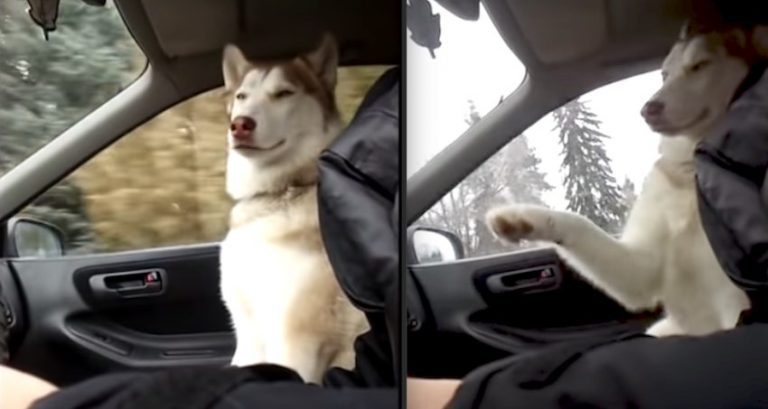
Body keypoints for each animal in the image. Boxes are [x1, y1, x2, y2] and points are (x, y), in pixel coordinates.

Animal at [219, 35, 368, 382]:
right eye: (241, 96)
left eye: (284, 93)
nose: (240, 125)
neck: (277, 194)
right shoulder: (247, 333)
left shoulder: (296, 341)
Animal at [486, 24, 768, 334]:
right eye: (664, 74)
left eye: (700, 65)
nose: (648, 109)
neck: (688, 168)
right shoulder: (642, 265)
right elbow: (580, 224)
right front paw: (521, 219)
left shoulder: (731, 297)